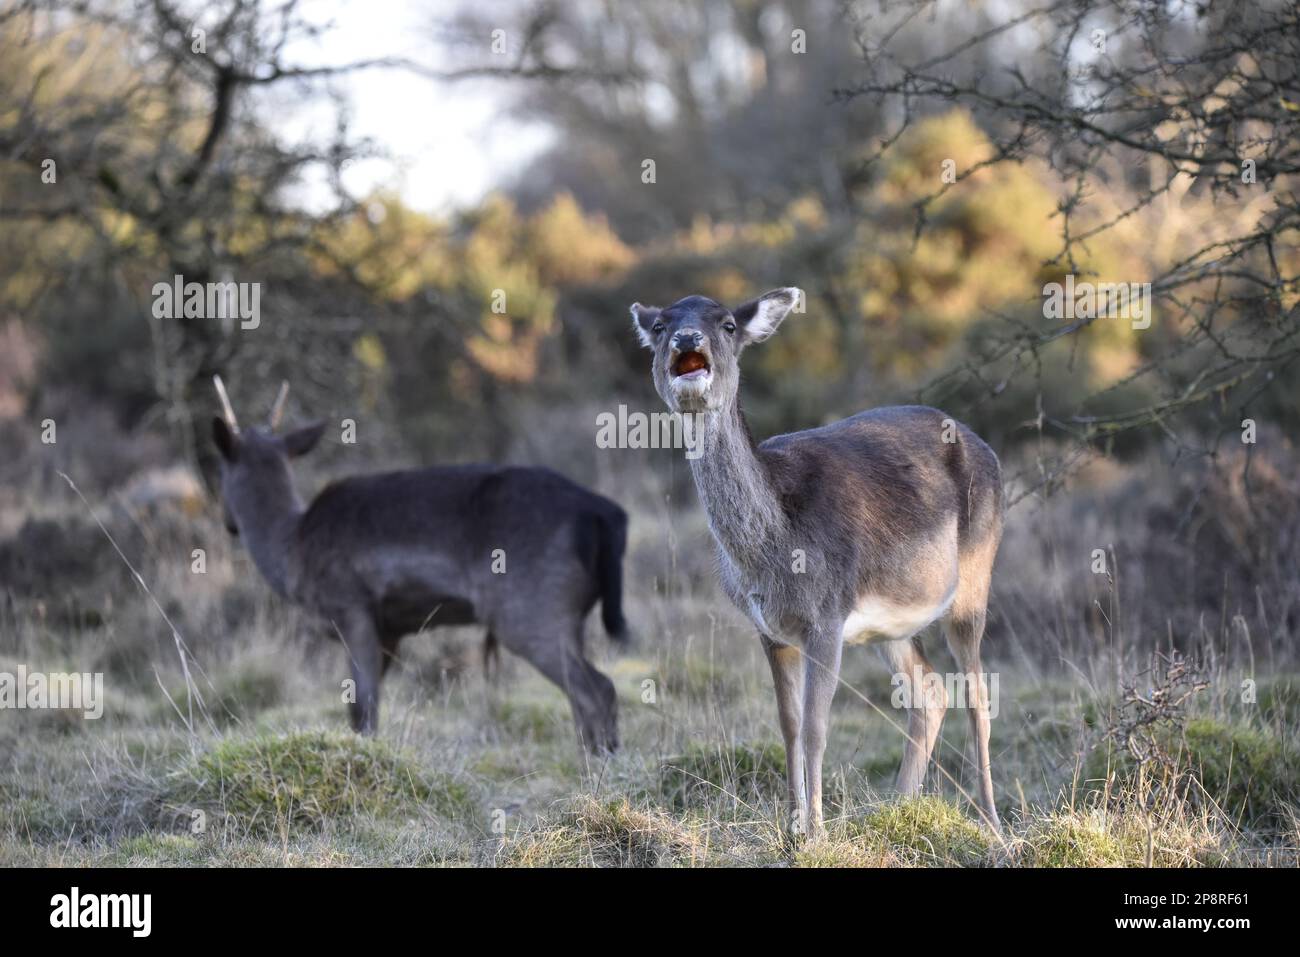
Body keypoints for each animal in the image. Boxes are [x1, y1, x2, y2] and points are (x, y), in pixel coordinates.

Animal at [211, 377, 629, 748]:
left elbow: (362, 707)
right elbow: (365, 706)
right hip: (570, 616)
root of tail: (604, 514)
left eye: (220, 470)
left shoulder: (350, 606)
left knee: (598, 689)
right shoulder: (391, 631)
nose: (228, 523)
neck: (292, 550)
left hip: (531, 609)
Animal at [629, 287, 1003, 832]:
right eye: (659, 327)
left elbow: (816, 726)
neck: (773, 552)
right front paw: (792, 825)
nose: (686, 338)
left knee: (978, 694)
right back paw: (898, 807)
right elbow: (788, 724)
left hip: (976, 573)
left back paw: (993, 824)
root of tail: (989, 450)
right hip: (892, 623)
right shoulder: (769, 628)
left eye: (726, 324)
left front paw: (817, 832)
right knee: (930, 689)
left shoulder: (826, 615)